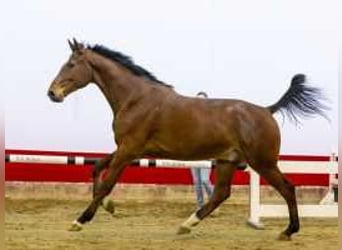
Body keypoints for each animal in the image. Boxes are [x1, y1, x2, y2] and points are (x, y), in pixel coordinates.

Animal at [46, 38, 328, 240]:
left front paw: (79, 221)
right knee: (221, 194)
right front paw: (109, 206)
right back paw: (186, 225)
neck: (136, 98)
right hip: (227, 161)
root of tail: (268, 110)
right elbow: (96, 168)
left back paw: (288, 231)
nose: (52, 93)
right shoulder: (126, 149)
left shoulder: (128, 150)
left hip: (263, 163)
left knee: (287, 188)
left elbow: (106, 182)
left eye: (71, 65)